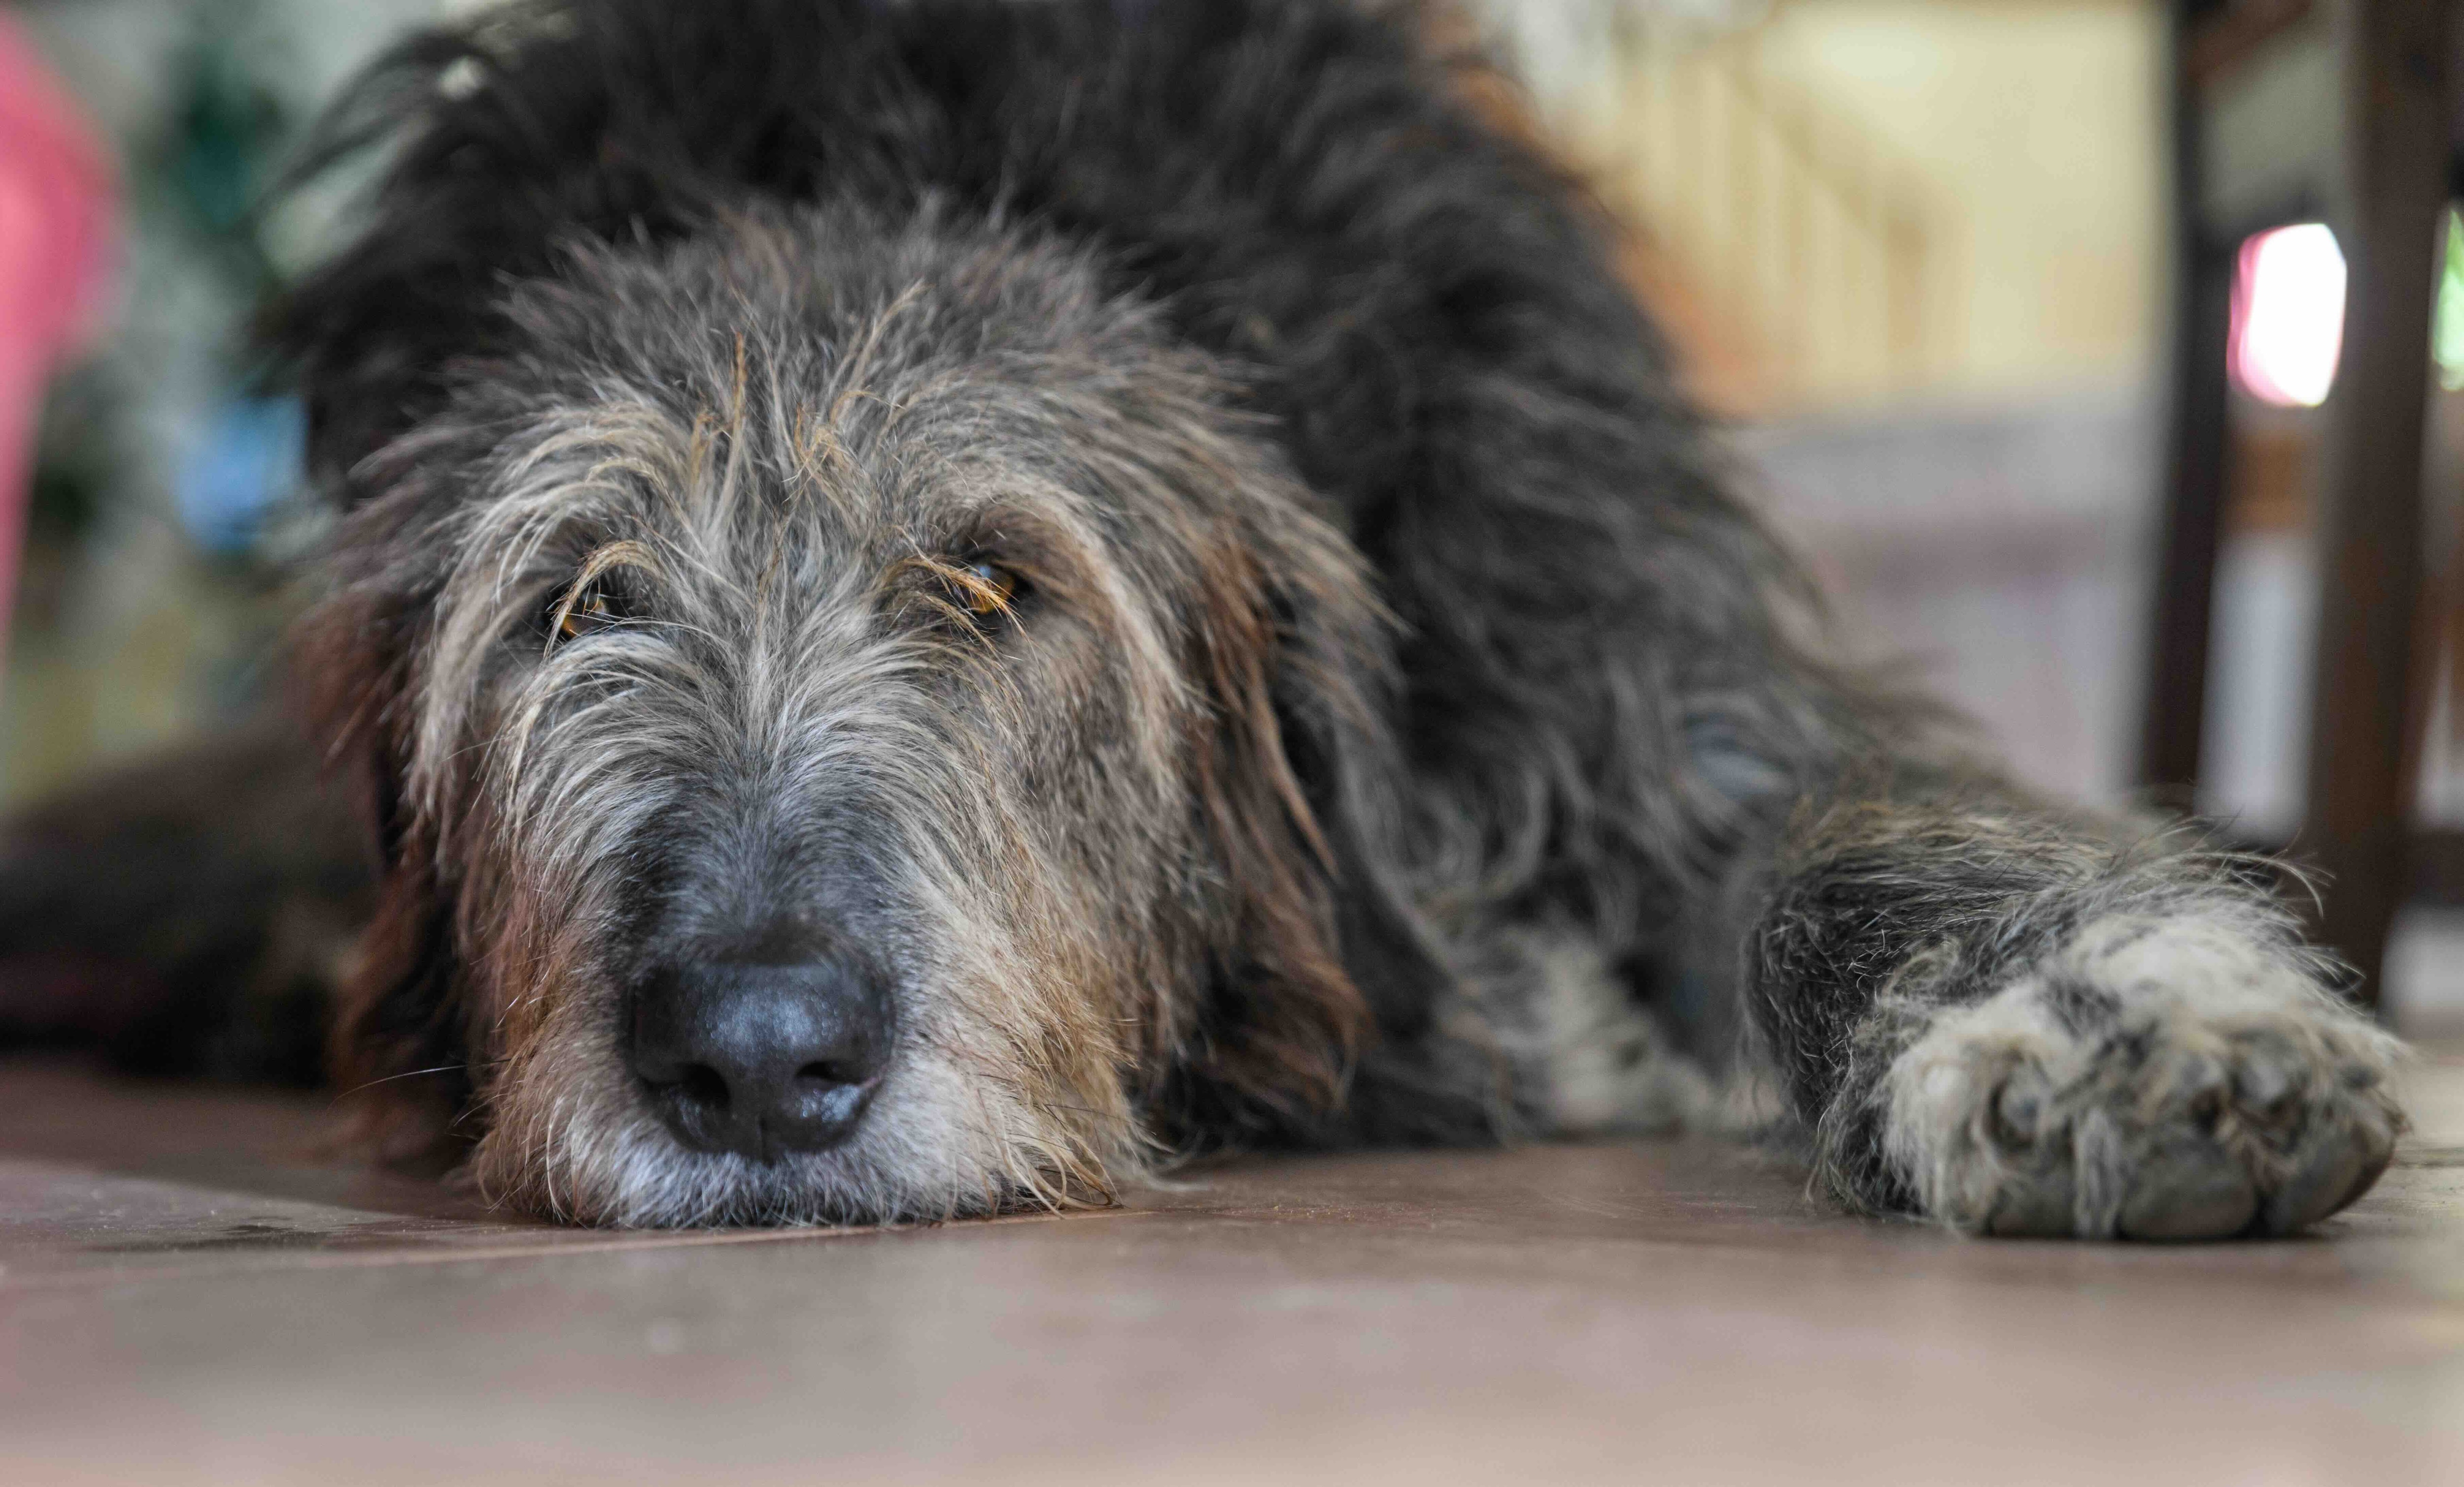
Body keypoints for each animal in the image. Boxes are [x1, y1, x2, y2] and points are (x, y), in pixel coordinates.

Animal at [0, 0, 2405, 1231]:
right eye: (577, 595)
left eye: (995, 577)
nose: (753, 1057)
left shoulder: (1608, 642)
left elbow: (1826, 830)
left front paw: (2107, 1026)